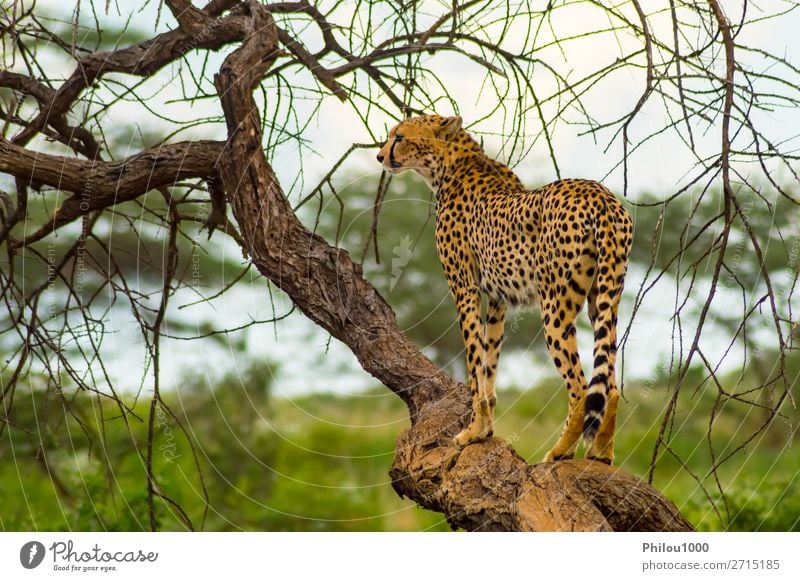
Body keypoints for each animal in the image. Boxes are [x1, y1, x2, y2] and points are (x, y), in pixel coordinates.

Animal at [378, 115, 636, 464]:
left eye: (400, 136)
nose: (380, 156)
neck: (449, 165)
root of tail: (599, 193)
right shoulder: (497, 297)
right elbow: (489, 363)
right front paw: (484, 430)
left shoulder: (465, 288)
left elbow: (474, 362)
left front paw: (472, 431)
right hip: (605, 299)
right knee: (610, 382)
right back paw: (601, 454)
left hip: (555, 306)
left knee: (582, 387)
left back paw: (561, 451)